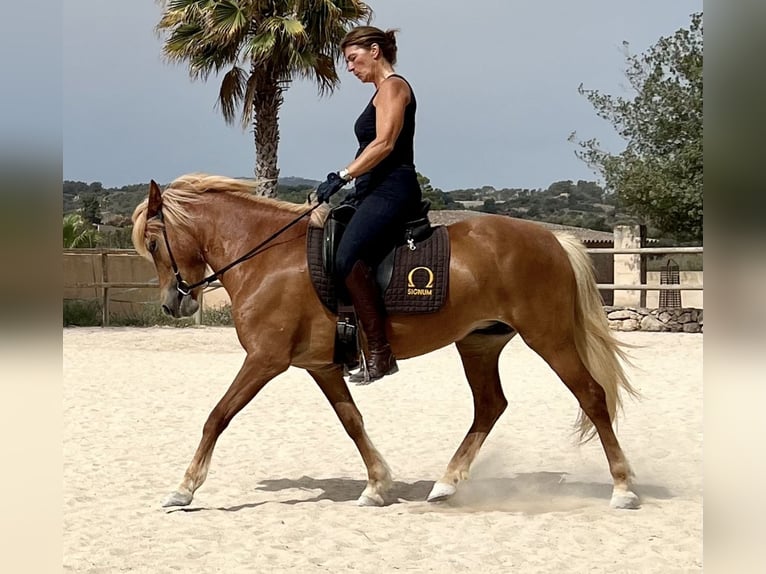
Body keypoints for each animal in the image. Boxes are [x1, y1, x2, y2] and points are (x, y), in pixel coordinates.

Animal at [132, 173, 640, 510]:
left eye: (154, 244)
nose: (172, 305)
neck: (266, 256)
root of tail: (553, 240)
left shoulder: (264, 359)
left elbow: (218, 416)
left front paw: (184, 487)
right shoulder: (321, 366)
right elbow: (352, 421)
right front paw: (377, 485)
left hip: (549, 337)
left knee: (591, 396)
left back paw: (623, 488)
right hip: (479, 343)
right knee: (490, 406)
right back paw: (447, 483)